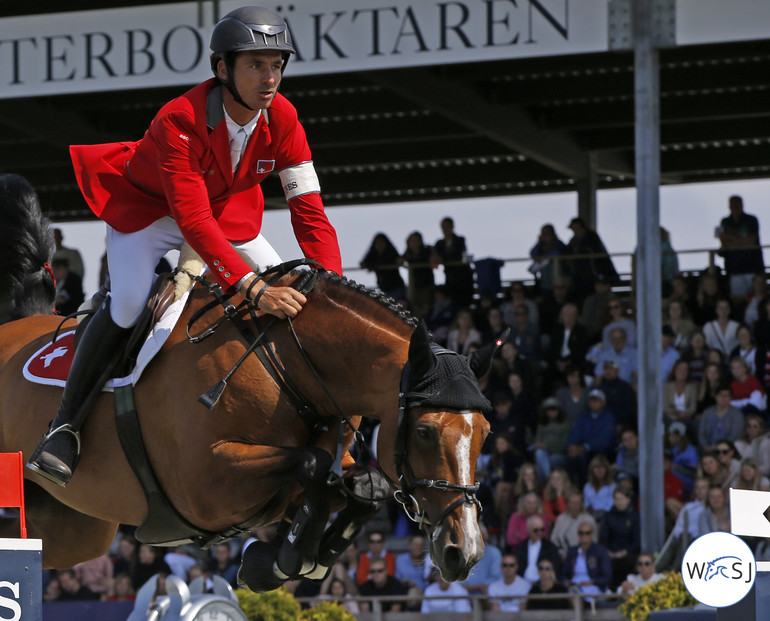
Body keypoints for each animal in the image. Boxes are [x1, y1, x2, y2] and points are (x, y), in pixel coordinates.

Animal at [0, 174, 492, 592]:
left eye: (485, 434)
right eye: (425, 432)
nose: (463, 554)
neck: (289, 361)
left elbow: (363, 488)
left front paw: (282, 561)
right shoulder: (204, 485)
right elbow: (314, 464)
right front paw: (283, 559)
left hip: (75, 529)